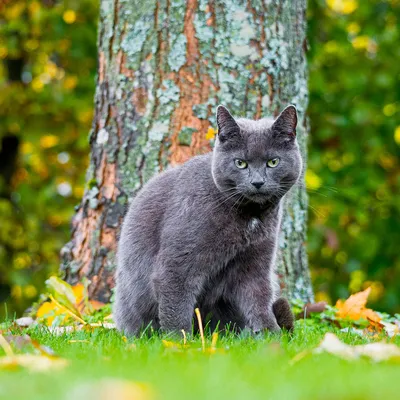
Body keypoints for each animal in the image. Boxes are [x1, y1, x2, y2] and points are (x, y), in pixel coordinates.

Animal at [112, 104, 300, 336]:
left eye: (273, 162)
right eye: (240, 163)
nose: (257, 182)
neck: (250, 217)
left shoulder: (256, 261)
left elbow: (259, 299)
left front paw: (271, 336)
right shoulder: (177, 262)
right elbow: (176, 302)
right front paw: (178, 340)